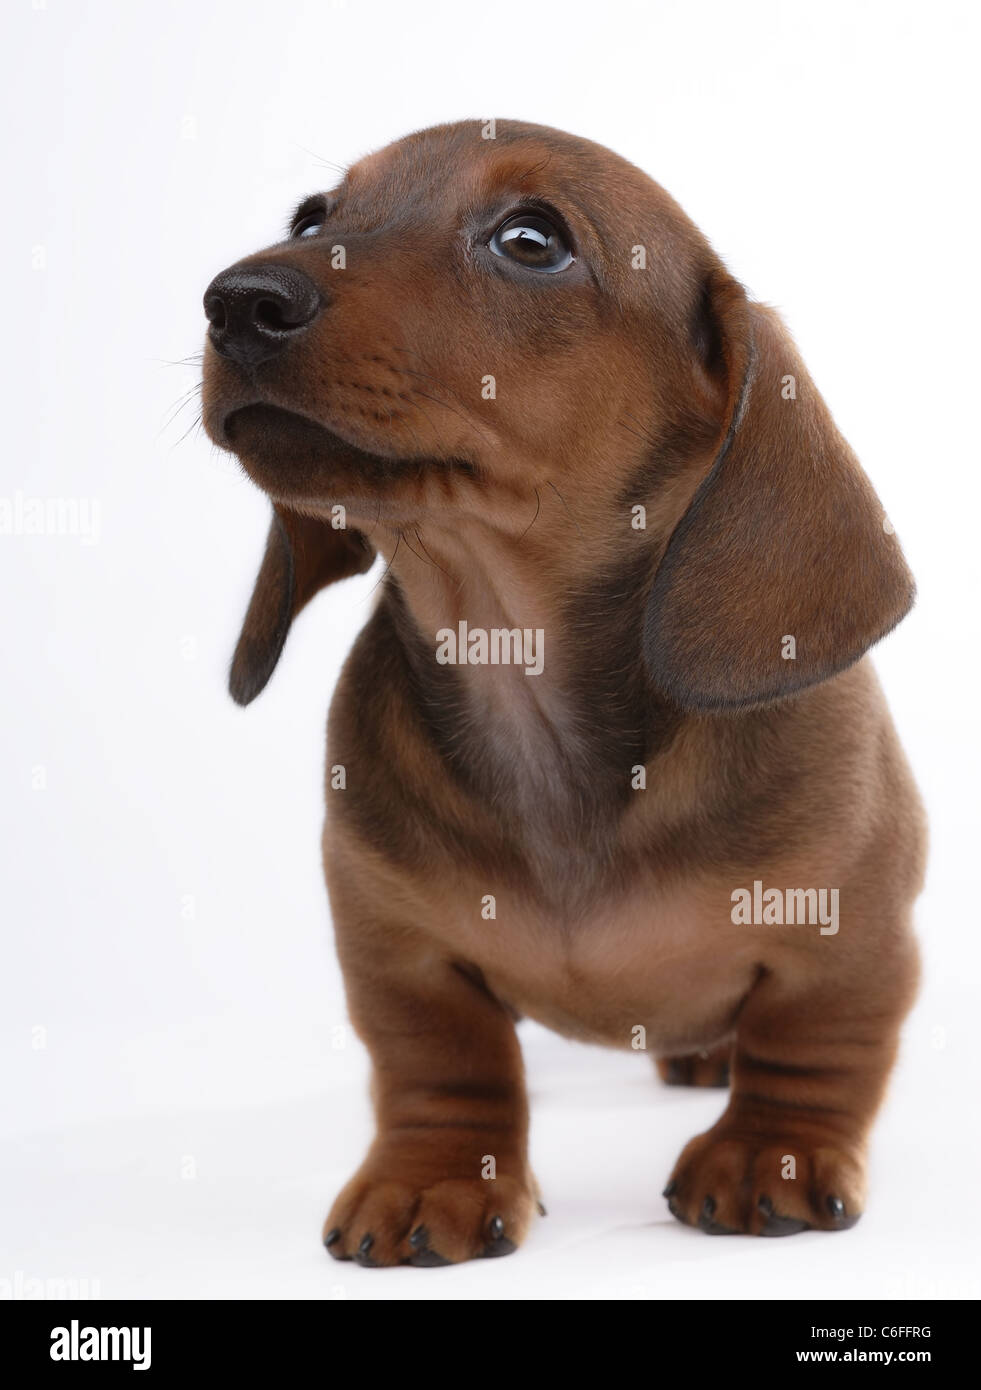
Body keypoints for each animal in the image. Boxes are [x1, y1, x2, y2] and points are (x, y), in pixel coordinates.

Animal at [200, 122, 922, 1273]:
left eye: (530, 240)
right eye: (313, 217)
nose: (235, 300)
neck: (521, 672)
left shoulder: (847, 938)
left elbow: (812, 1046)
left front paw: (769, 1153)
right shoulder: (394, 946)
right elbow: (442, 1059)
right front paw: (436, 1174)